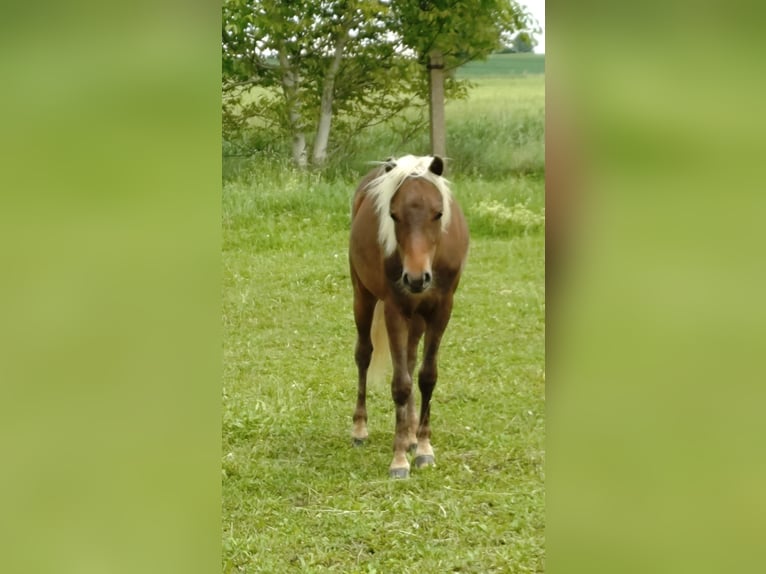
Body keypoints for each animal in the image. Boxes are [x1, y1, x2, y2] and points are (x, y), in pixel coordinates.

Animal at [348, 154, 469, 478]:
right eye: (393, 215)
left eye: (438, 214)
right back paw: (360, 429)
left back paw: (413, 435)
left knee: (412, 359)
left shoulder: (441, 310)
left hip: (417, 319)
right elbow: (401, 384)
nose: (416, 279)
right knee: (363, 354)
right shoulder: (395, 311)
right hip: (363, 297)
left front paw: (423, 448)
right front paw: (399, 459)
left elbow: (426, 376)